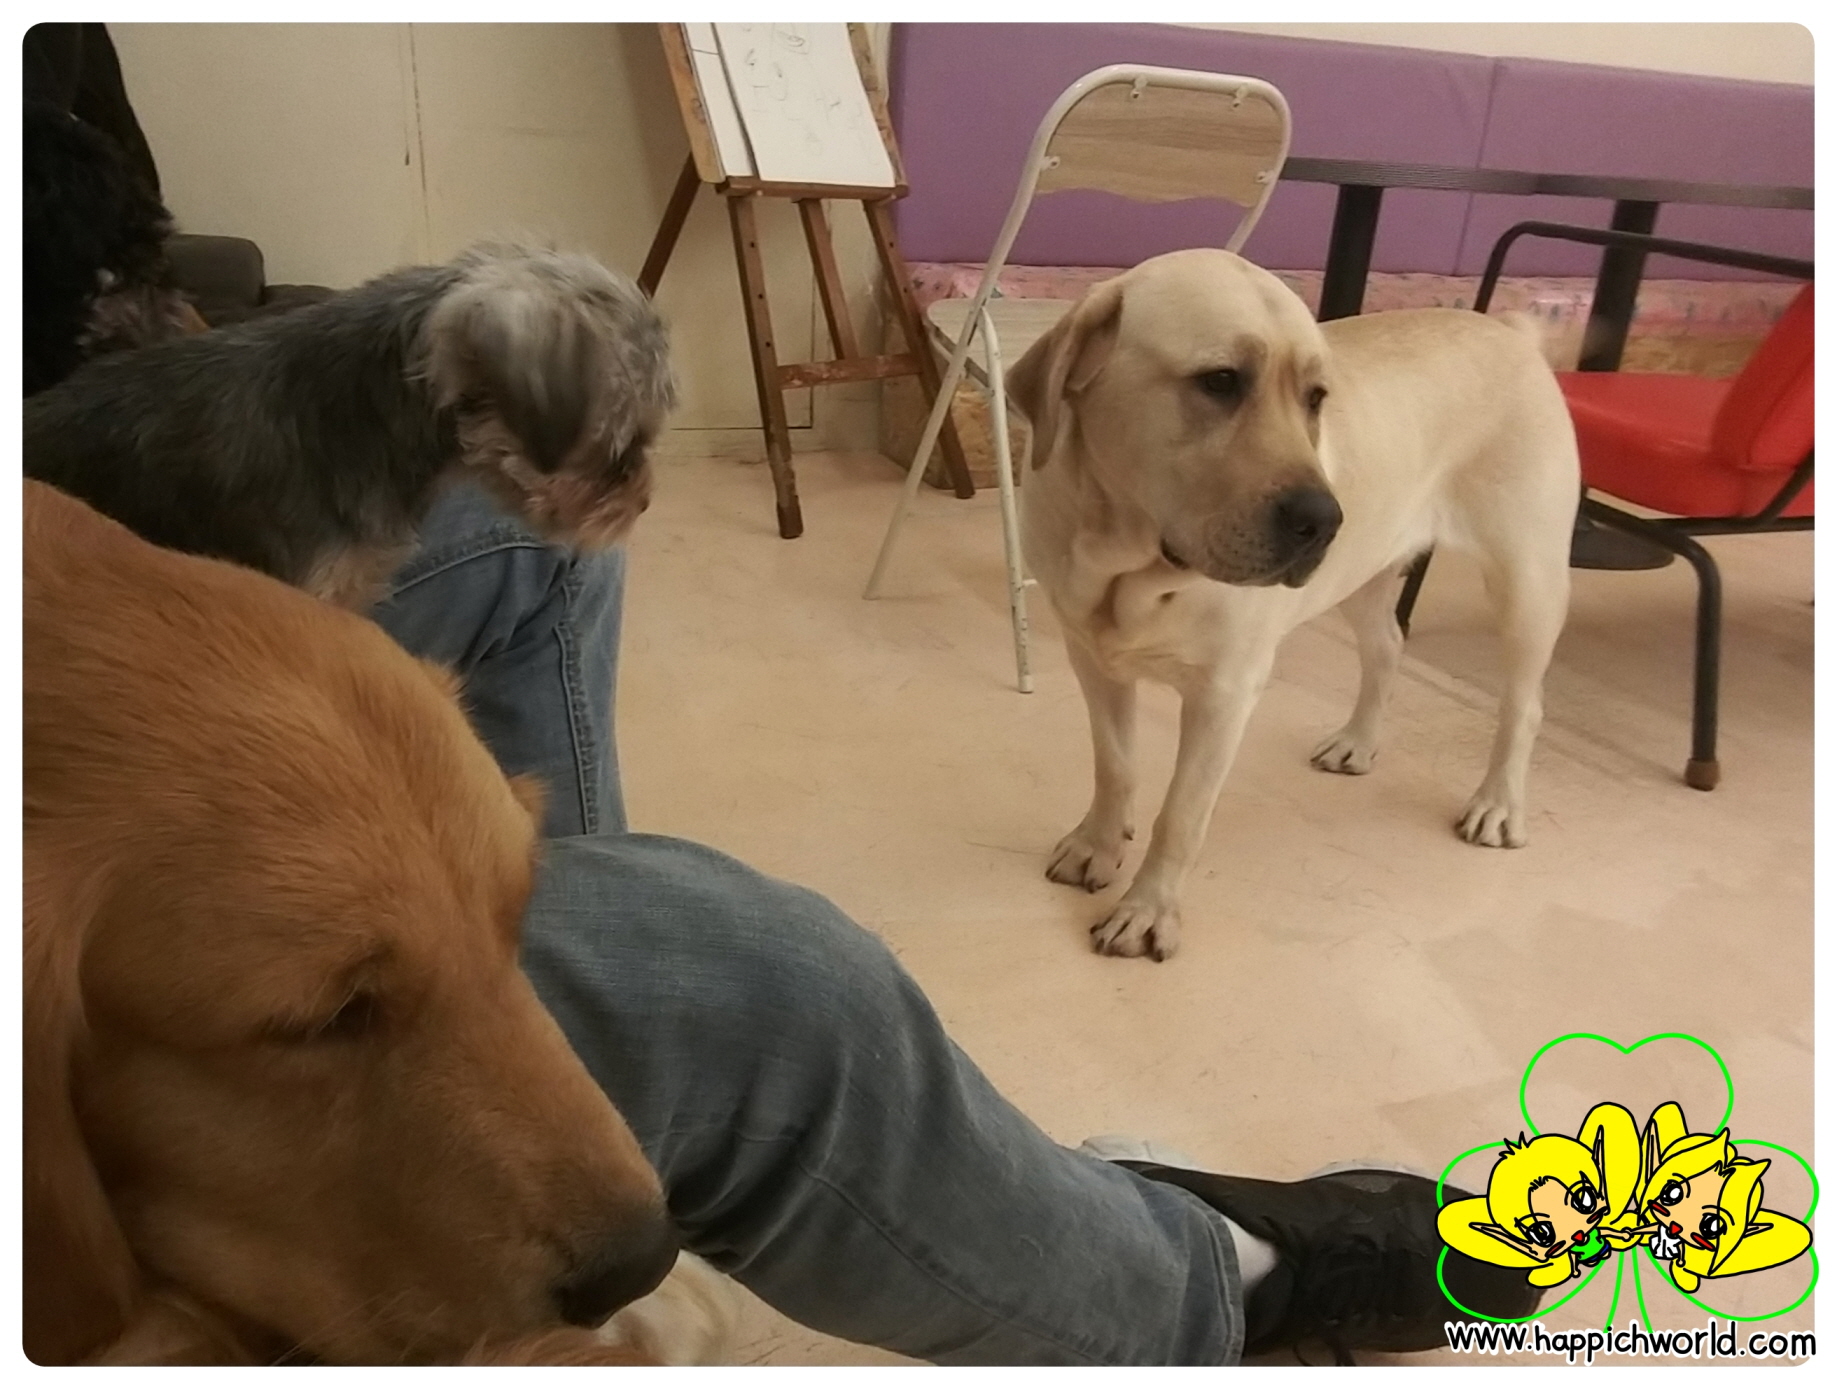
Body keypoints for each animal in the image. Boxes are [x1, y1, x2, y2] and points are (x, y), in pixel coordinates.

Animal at [1010, 249, 1579, 961]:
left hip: (1526, 581)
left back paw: (1498, 803)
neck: (1126, 562)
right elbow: (1114, 767)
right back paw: (1357, 742)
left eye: (1315, 397)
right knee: (1388, 647)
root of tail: (1513, 333)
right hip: (1362, 572)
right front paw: (1097, 846)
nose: (1323, 520)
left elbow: (1182, 816)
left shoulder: (1225, 694)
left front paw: (1147, 911)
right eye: (1221, 381)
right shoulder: (1093, 661)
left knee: (1524, 706)